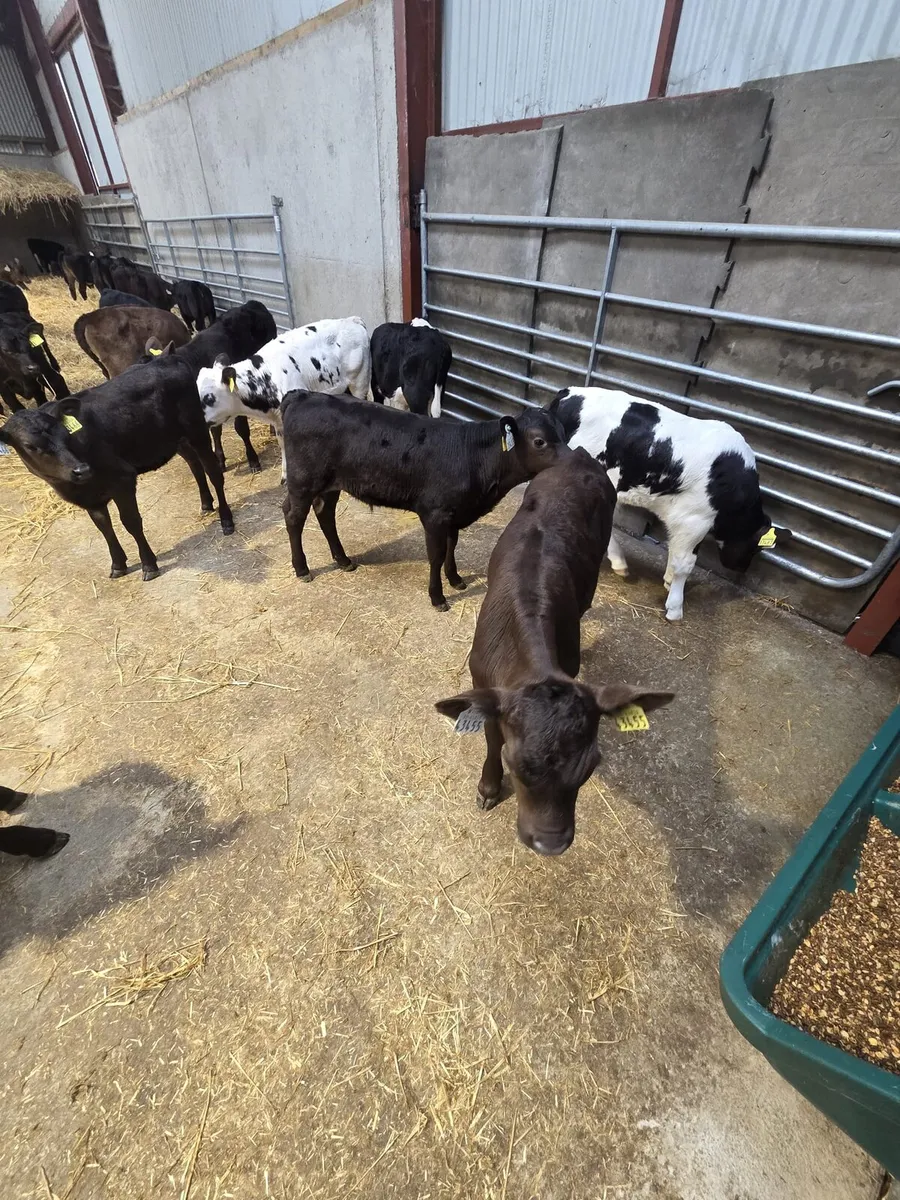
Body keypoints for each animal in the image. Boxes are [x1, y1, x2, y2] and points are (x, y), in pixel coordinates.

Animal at [196, 315, 371, 481]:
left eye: (208, 398)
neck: (266, 377)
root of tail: (351, 320)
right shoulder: (278, 421)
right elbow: (283, 445)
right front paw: (285, 475)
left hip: (359, 382)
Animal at [280, 391, 569, 609]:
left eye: (564, 433)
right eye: (539, 441)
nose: (573, 461)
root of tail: (302, 394)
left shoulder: (454, 512)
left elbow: (452, 547)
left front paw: (456, 579)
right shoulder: (434, 513)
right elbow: (436, 555)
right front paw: (438, 597)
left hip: (330, 484)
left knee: (325, 514)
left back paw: (343, 560)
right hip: (303, 481)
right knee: (294, 516)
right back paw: (302, 569)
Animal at [436, 450, 674, 856]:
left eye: (591, 767)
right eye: (515, 766)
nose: (550, 843)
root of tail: (578, 456)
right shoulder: (481, 682)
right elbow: (491, 735)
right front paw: (488, 788)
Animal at [555, 387, 793, 621]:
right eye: (756, 548)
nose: (741, 568)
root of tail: (565, 395)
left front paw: (669, 581)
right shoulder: (695, 519)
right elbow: (685, 563)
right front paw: (675, 607)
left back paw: (618, 562)